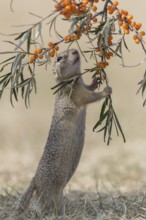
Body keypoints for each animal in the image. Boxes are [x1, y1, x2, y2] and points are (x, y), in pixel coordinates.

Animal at [13, 48, 112, 218]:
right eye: (59, 58)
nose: (75, 50)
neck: (73, 79)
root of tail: (35, 181)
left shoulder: (80, 85)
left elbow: (88, 88)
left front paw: (95, 80)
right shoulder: (74, 92)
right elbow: (88, 97)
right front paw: (106, 91)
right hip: (53, 195)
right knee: (47, 209)